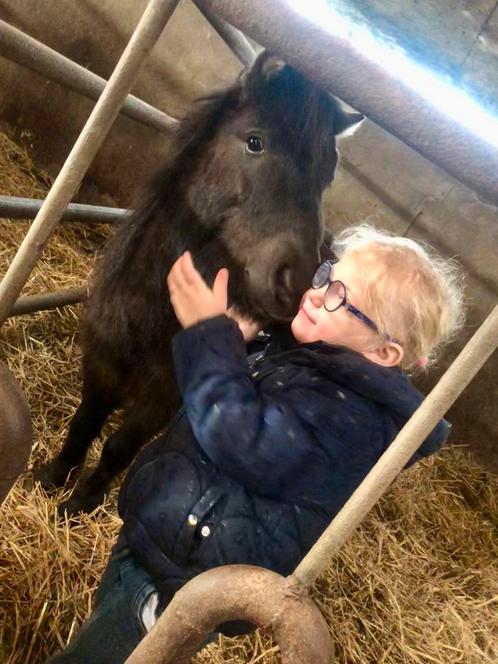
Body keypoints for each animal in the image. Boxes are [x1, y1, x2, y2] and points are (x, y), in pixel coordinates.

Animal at [35, 54, 362, 516]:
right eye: (255, 141)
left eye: (326, 175)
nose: (298, 280)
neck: (153, 312)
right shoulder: (103, 359)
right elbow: (86, 420)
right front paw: (53, 477)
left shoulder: (162, 397)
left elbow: (118, 447)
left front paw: (81, 501)